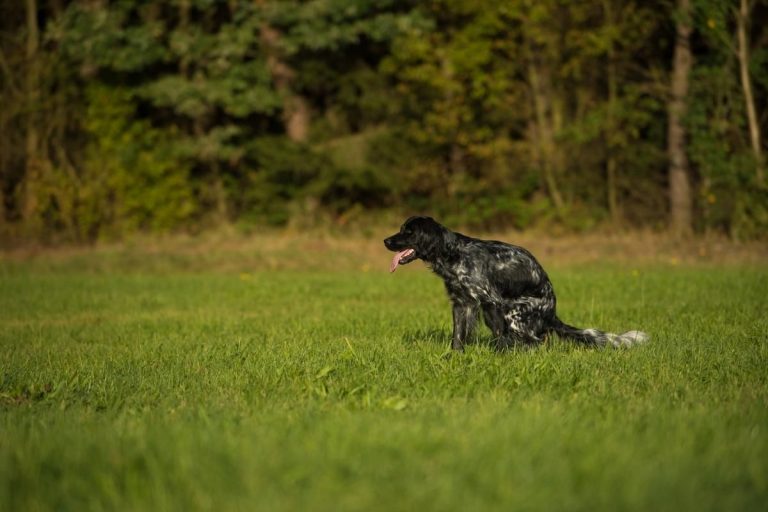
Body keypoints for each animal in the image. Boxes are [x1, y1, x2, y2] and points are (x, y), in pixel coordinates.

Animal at [384, 214, 648, 350]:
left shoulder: (491, 302)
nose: (386, 241)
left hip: (515, 313)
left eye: (409, 232)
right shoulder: (461, 304)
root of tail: (552, 313)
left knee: (535, 341)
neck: (454, 253)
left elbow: (500, 338)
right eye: (401, 229)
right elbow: (457, 337)